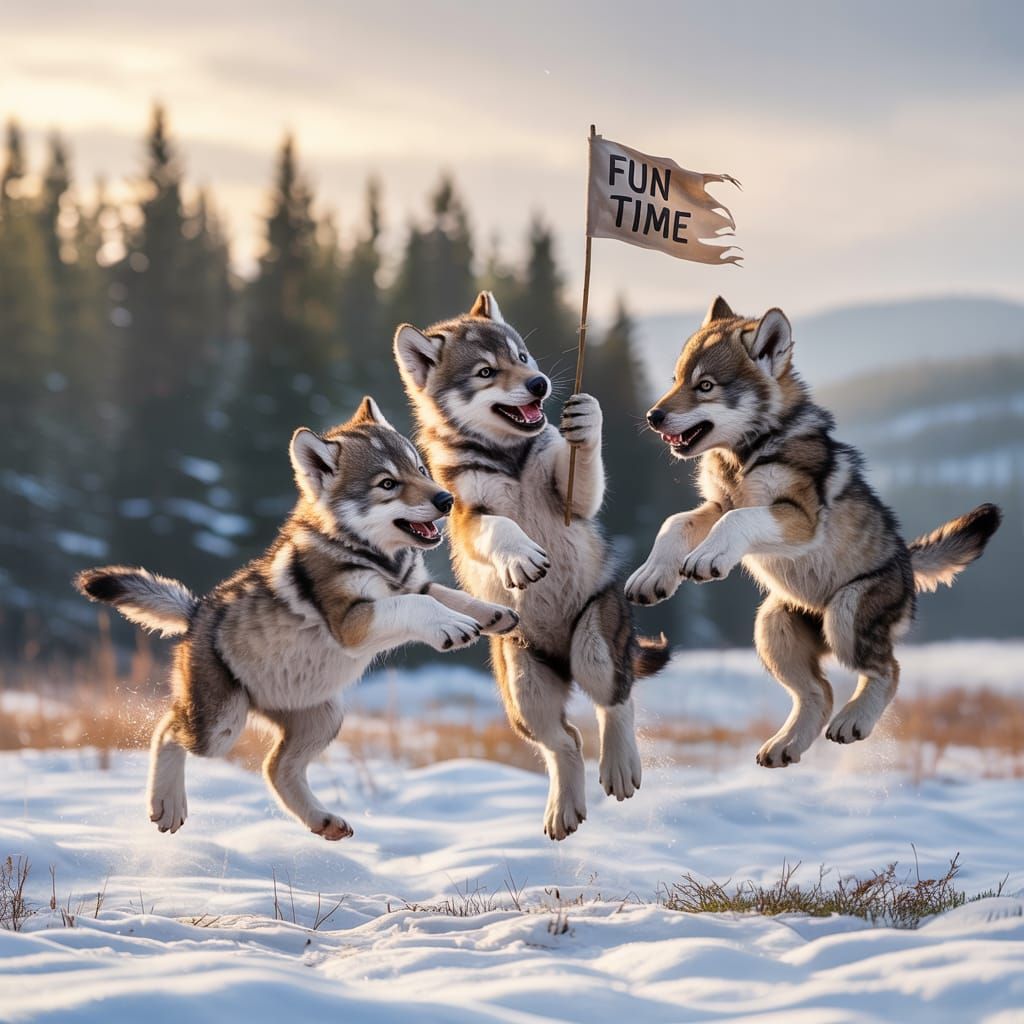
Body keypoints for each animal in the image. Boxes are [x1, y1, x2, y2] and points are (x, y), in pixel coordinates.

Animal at [75, 397, 518, 838]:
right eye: (387, 484)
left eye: (420, 469)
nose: (446, 500)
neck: (373, 556)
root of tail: (196, 611)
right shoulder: (352, 621)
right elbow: (419, 606)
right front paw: (453, 626)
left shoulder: (412, 584)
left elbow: (449, 596)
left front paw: (495, 615)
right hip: (221, 727)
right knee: (166, 729)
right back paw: (167, 805)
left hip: (324, 718)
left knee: (275, 768)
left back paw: (324, 821)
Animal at [394, 292, 669, 840]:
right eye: (485, 371)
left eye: (521, 356)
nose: (539, 384)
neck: (510, 459)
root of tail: (563, 660)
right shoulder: (466, 517)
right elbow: (502, 529)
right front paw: (522, 559)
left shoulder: (572, 496)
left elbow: (582, 467)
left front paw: (586, 419)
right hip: (524, 689)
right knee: (564, 742)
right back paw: (564, 808)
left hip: (595, 644)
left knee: (615, 703)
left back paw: (620, 767)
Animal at [625, 296, 1001, 767]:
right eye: (675, 380)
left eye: (706, 385)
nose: (652, 416)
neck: (747, 453)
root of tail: (907, 561)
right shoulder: (717, 504)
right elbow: (674, 523)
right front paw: (651, 576)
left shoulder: (796, 516)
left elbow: (736, 522)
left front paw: (707, 559)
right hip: (773, 628)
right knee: (818, 693)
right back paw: (785, 745)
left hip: (845, 613)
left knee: (888, 670)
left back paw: (853, 722)